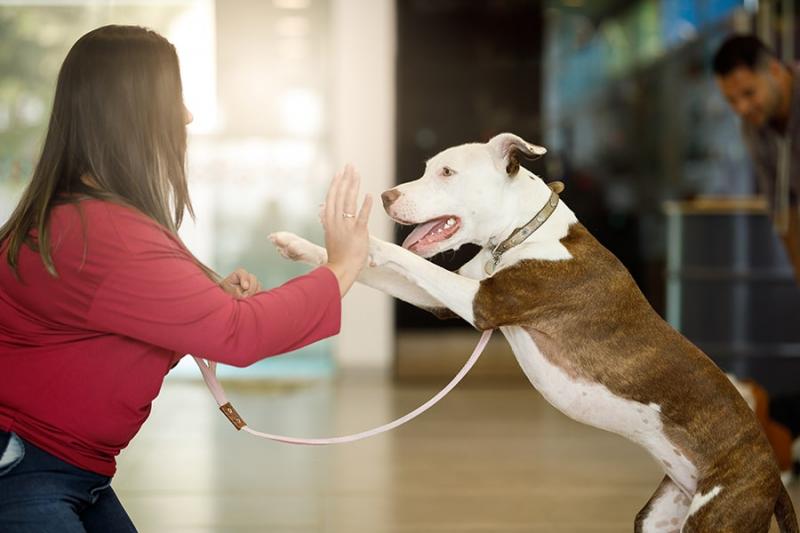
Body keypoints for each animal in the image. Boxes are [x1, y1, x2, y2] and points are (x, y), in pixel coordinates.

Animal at [270, 133, 800, 532]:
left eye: (447, 173)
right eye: (427, 169)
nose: (385, 197)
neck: (522, 233)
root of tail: (772, 472)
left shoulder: (480, 304)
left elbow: (393, 252)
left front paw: (348, 227)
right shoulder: (442, 300)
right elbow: (377, 265)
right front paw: (299, 244)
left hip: (719, 513)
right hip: (663, 514)